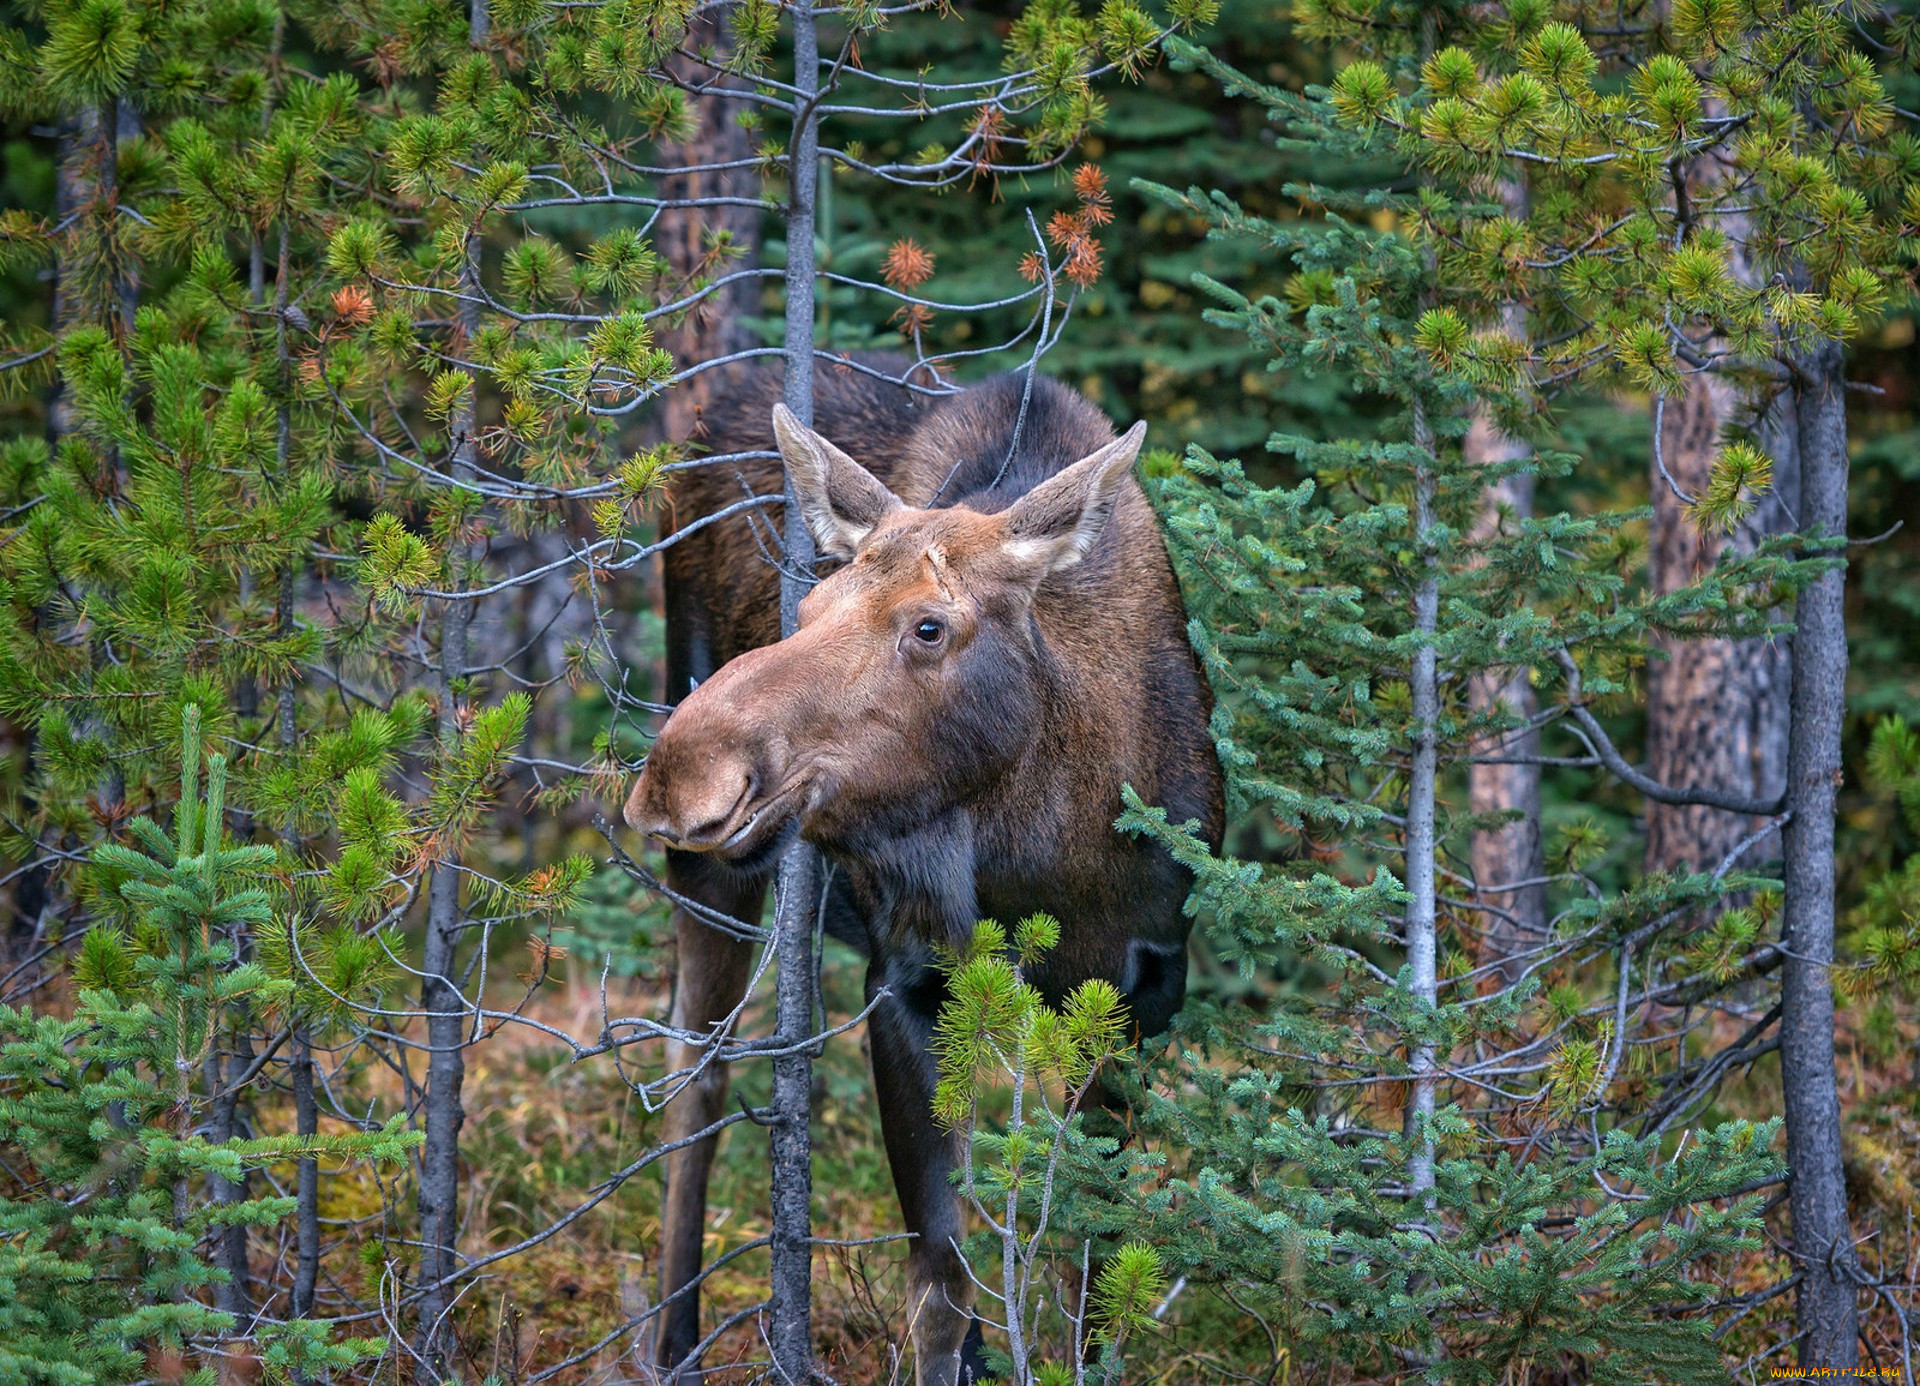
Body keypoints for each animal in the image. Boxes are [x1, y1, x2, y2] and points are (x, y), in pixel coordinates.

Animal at [629, 360, 1228, 1374]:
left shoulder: (1144, 994)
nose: (682, 771)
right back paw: (672, 1347)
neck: (1052, 867)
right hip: (713, 879)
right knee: (692, 1087)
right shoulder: (910, 978)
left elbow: (1096, 1269)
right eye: (807, 608)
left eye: (929, 627)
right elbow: (940, 1287)